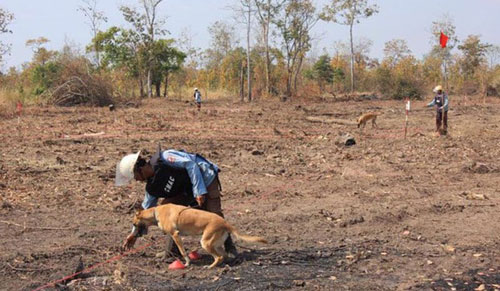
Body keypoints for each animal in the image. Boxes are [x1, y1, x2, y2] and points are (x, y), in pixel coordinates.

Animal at [123, 203, 268, 270]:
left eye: (134, 224)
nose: (134, 235)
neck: (155, 212)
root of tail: (225, 222)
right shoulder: (171, 236)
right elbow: (169, 248)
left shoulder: (175, 235)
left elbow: (183, 252)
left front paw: (187, 263)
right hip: (214, 244)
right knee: (223, 256)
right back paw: (222, 264)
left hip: (205, 242)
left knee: (219, 256)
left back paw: (210, 267)